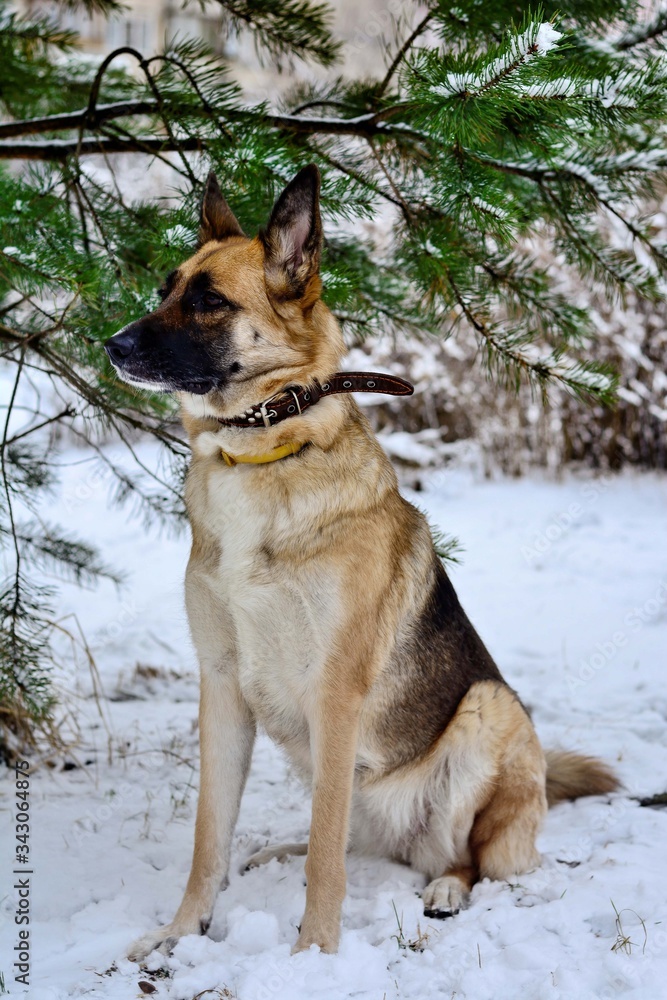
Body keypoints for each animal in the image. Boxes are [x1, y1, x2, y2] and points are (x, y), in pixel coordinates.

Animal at [105, 166, 620, 960]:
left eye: (208, 301)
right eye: (167, 289)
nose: (111, 345)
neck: (264, 453)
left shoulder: (336, 690)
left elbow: (325, 856)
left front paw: (313, 953)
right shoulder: (220, 687)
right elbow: (209, 838)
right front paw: (182, 930)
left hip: (486, 710)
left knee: (458, 855)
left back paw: (444, 889)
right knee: (353, 840)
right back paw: (277, 852)